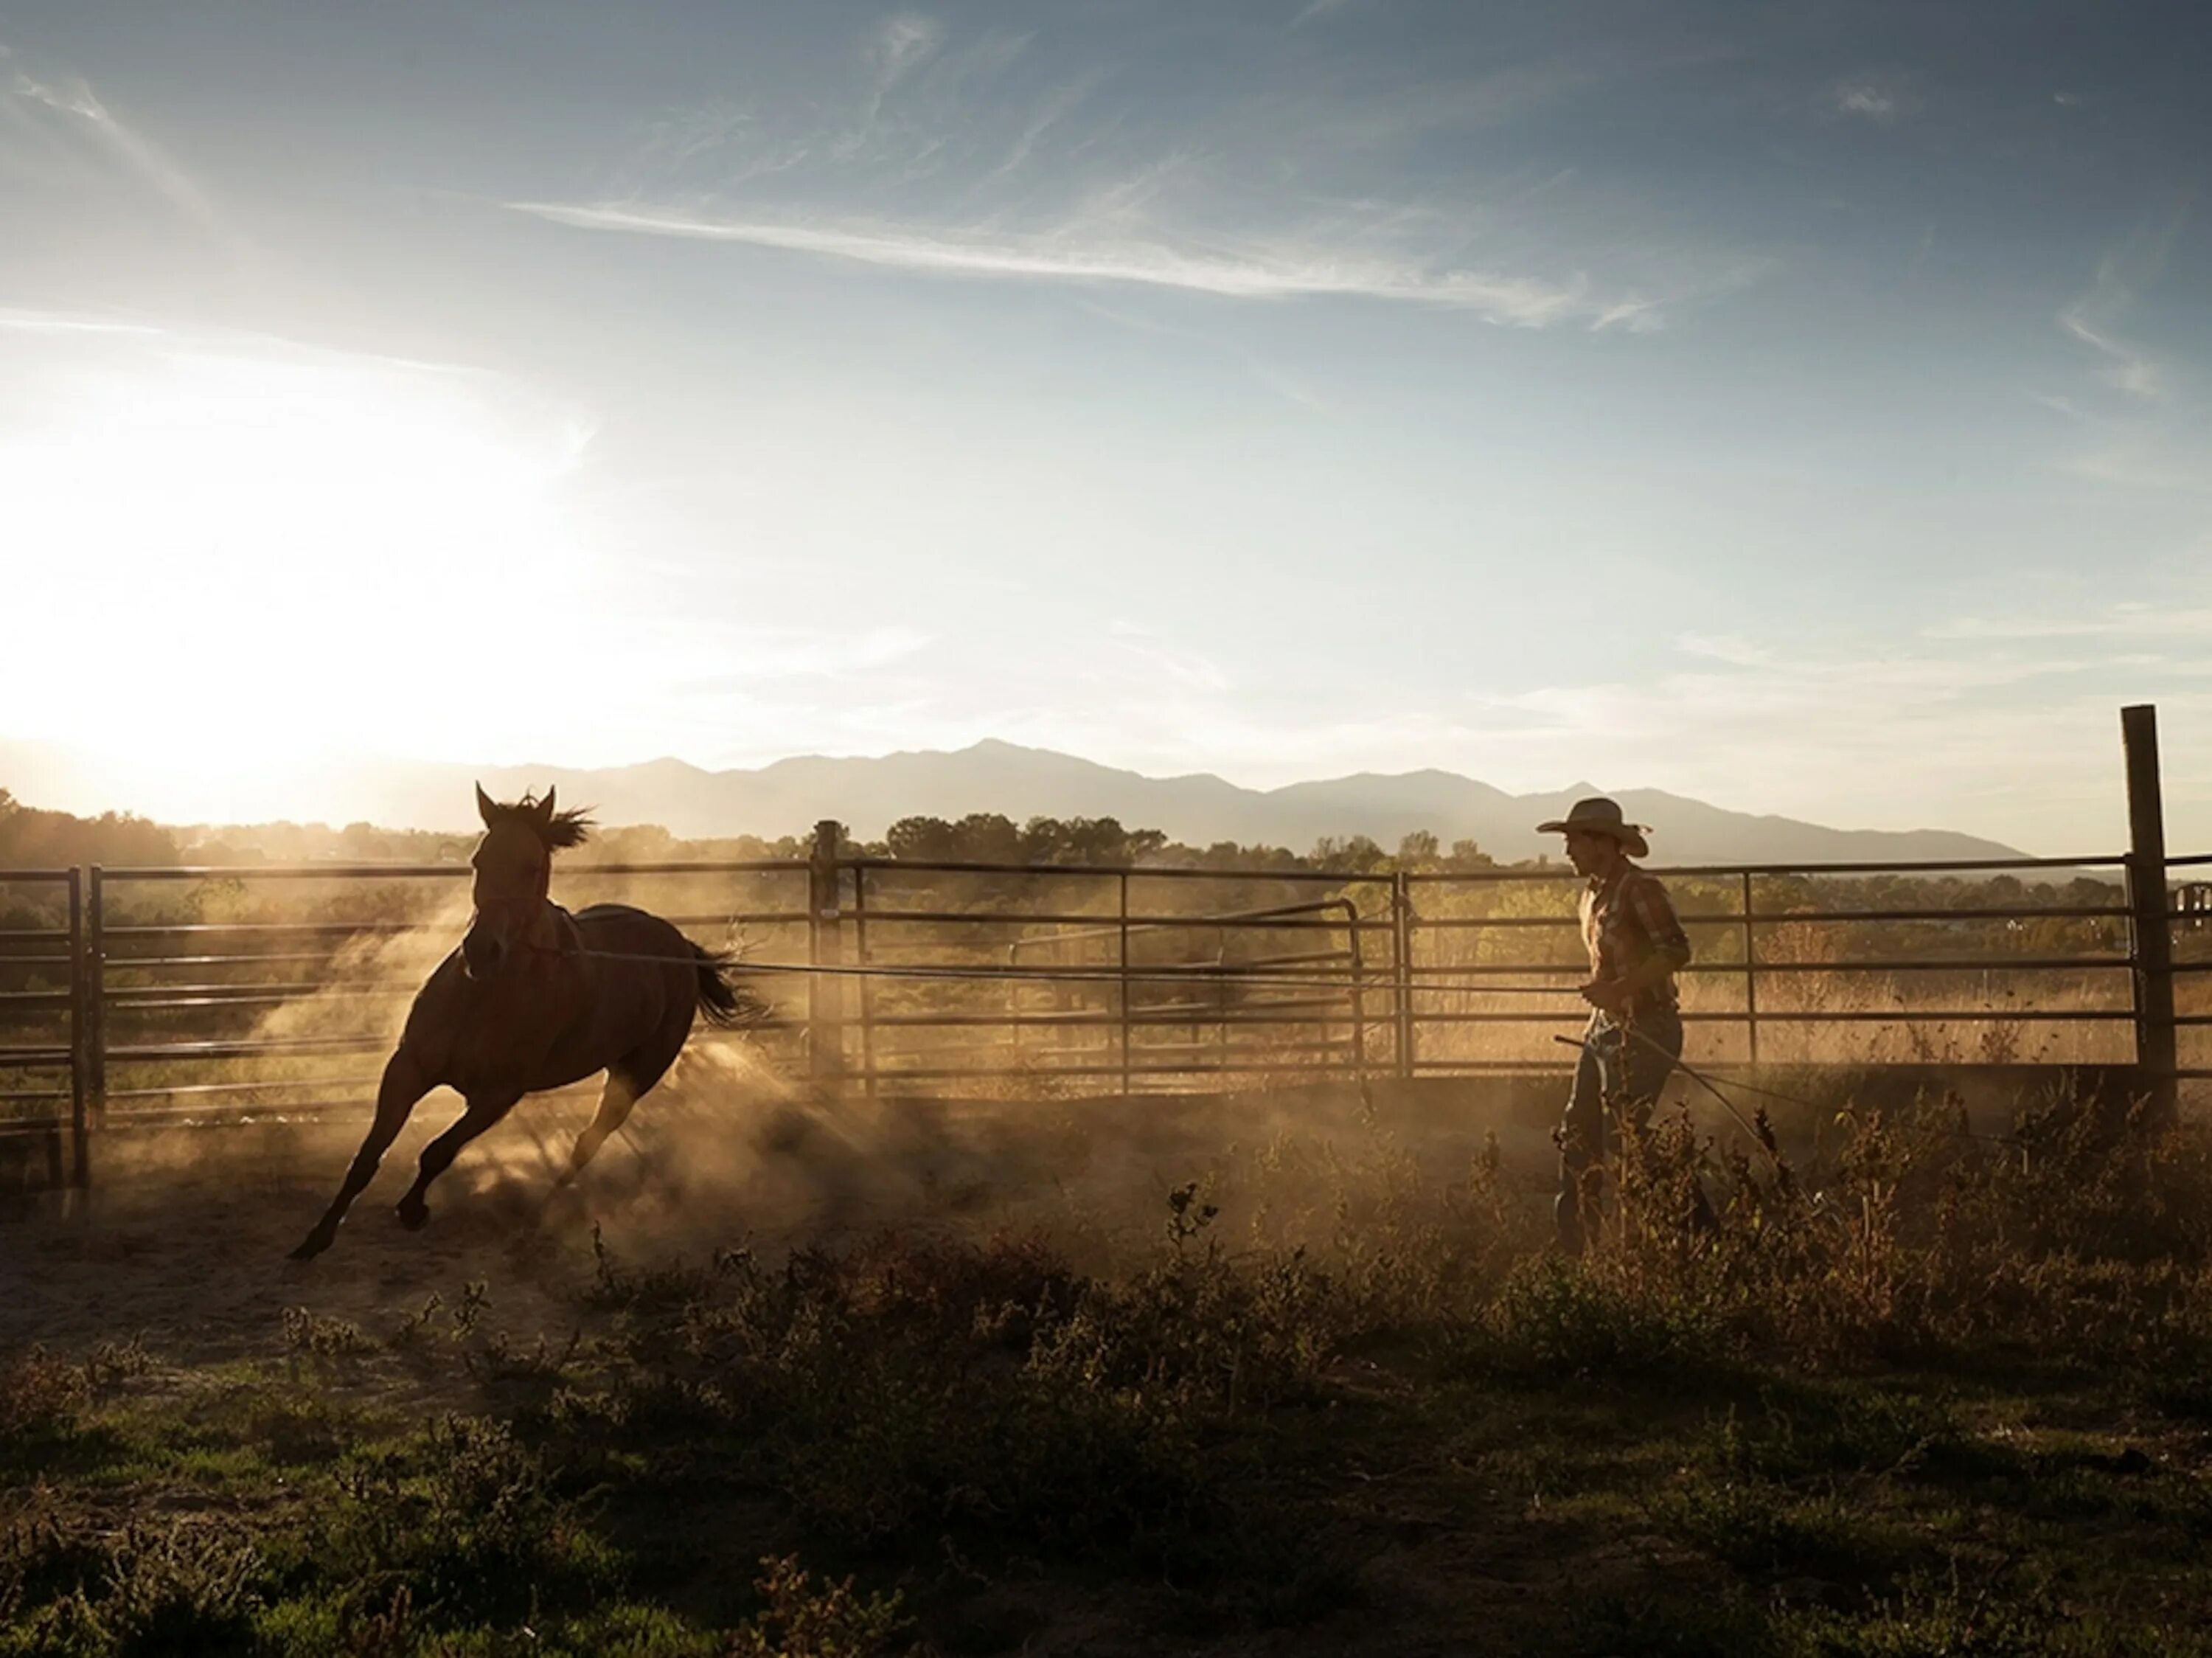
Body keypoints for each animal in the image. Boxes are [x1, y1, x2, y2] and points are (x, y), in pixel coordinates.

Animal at [290, 788, 757, 1257]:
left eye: (531, 867)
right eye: (478, 860)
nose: (482, 951)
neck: (483, 998)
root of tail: (681, 948)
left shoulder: (498, 1094)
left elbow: (438, 1151)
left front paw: (413, 1210)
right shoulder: (408, 1069)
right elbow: (368, 1157)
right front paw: (315, 1239)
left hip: (635, 1077)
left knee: (586, 1144)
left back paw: (537, 1219)